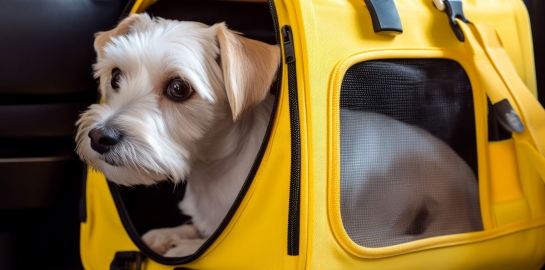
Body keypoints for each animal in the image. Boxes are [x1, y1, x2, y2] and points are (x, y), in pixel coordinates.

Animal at [75, 12, 480, 258]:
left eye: (178, 88)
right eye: (115, 77)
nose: (100, 137)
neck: (215, 171)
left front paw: (179, 247)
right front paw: (169, 233)